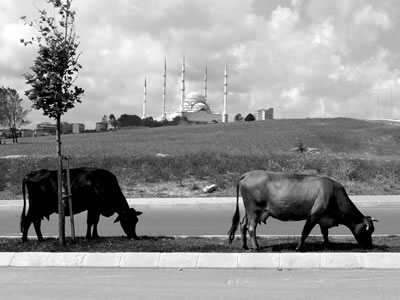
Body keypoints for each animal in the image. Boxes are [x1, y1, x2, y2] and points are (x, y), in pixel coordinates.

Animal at [228, 171, 378, 251]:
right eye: (368, 231)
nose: (370, 246)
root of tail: (248, 174)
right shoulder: (313, 215)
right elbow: (305, 232)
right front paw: (299, 248)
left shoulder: (323, 218)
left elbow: (325, 233)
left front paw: (328, 246)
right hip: (254, 210)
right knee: (251, 228)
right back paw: (257, 248)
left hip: (248, 211)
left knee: (242, 225)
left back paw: (245, 246)